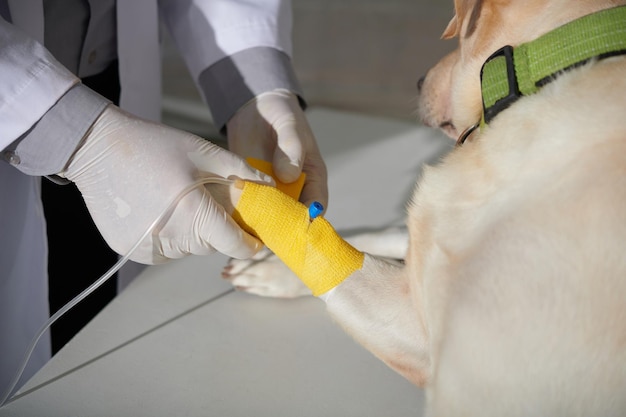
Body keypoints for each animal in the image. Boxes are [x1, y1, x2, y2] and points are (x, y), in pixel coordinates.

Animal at [222, 0, 620, 412]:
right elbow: (382, 237)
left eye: (459, 39)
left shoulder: (427, 340)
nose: (418, 80)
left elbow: (338, 265)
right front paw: (271, 264)